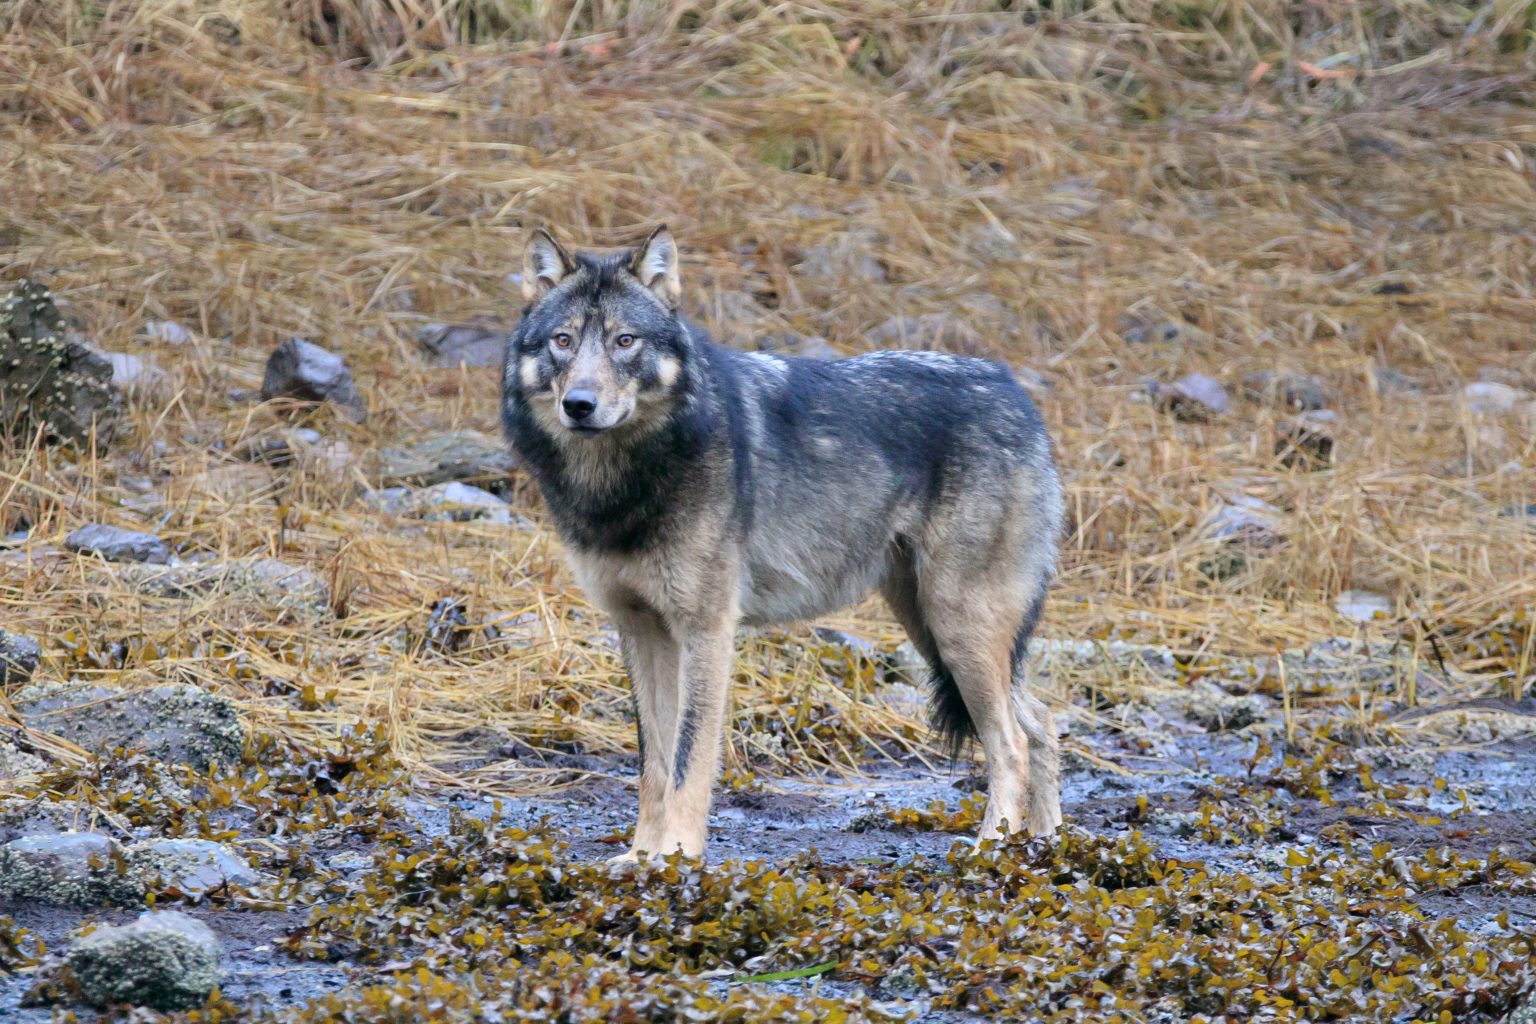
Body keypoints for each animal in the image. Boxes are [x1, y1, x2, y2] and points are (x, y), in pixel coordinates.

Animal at [497, 228, 1062, 859]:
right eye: (564, 341)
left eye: (625, 341)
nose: (580, 404)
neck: (625, 482)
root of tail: (1015, 393)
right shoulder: (641, 630)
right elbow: (653, 766)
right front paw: (641, 858)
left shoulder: (707, 630)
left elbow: (689, 760)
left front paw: (676, 857)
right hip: (934, 629)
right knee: (1044, 727)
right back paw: (1042, 850)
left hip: (957, 629)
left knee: (1012, 742)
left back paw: (990, 849)